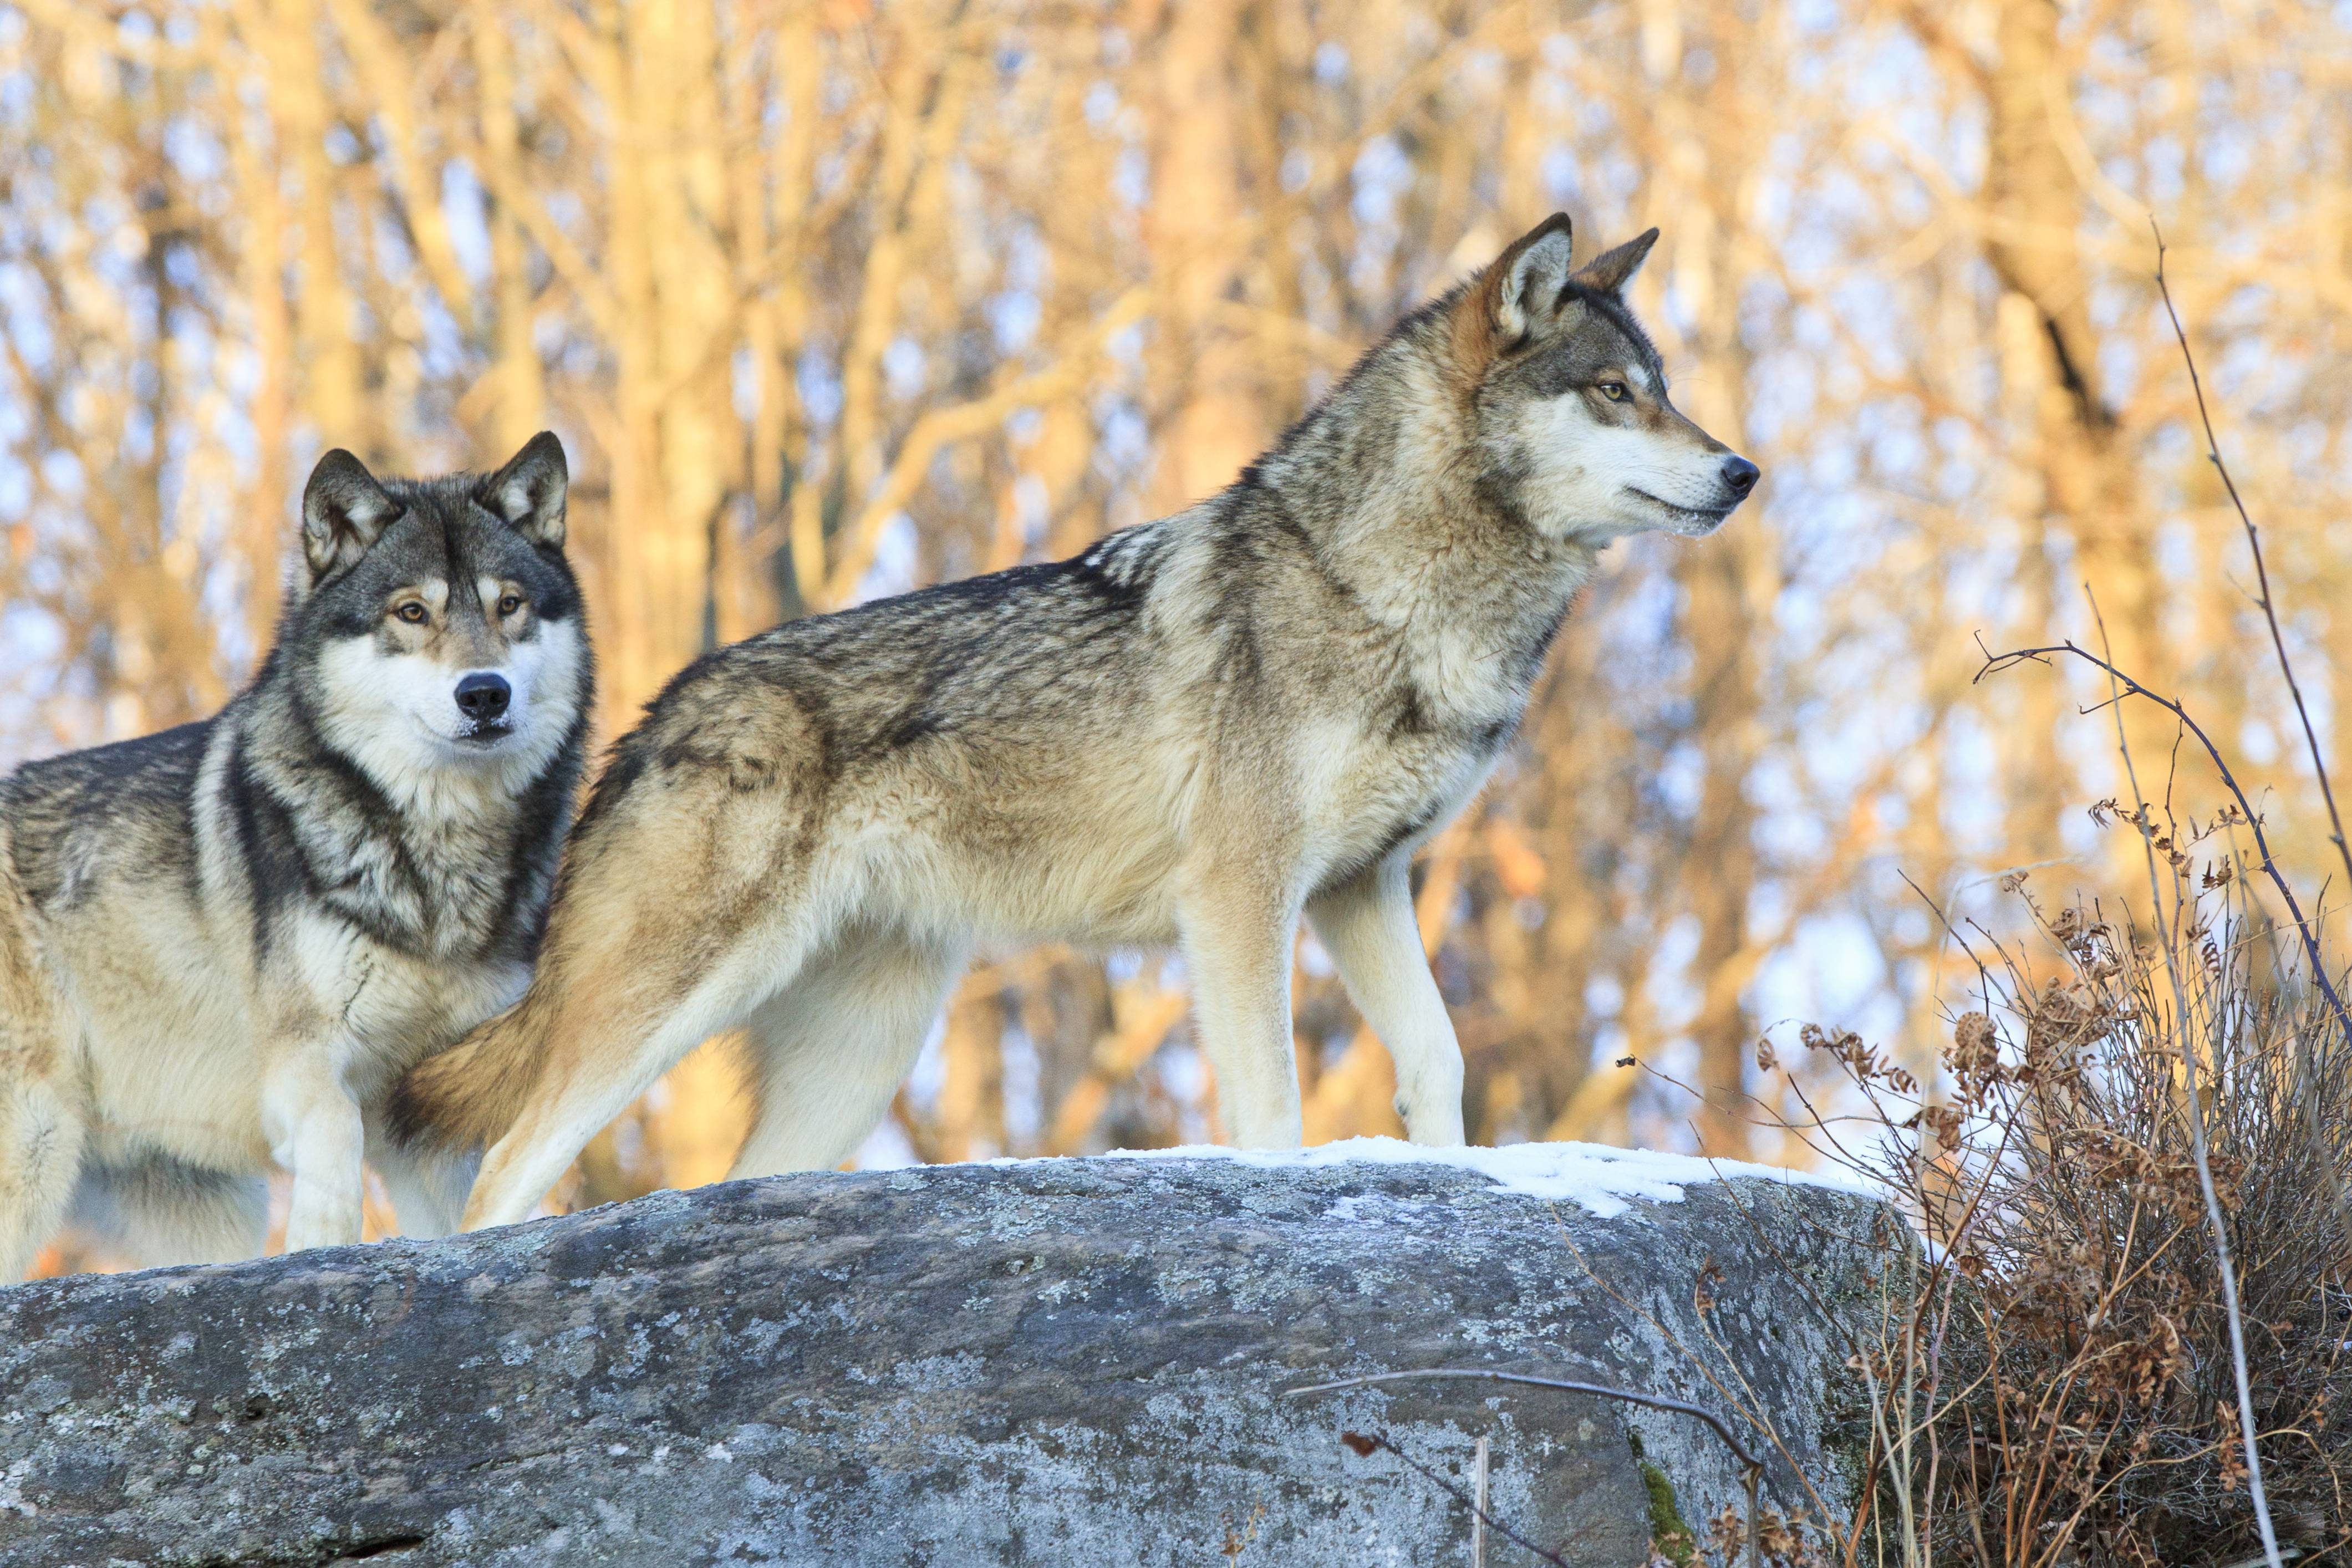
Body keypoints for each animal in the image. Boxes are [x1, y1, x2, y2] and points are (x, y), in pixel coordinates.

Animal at [0, 434, 592, 1280]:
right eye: (412, 612)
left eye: (508, 605)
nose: (485, 694)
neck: (437, 853)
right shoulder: (301, 1062)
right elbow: (336, 1132)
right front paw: (321, 1243)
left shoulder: (431, 1110)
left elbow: (474, 1213)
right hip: (37, 1148)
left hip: (206, 1210)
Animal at [389, 215, 1757, 1231]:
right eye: (1615, 392)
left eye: (1665, 391)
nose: (1744, 471)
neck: (1374, 588)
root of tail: (650, 713)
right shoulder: (1242, 897)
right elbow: (1274, 1108)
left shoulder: (1362, 889)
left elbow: (1438, 1060)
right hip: (668, 1005)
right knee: (503, 1171)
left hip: (859, 1055)